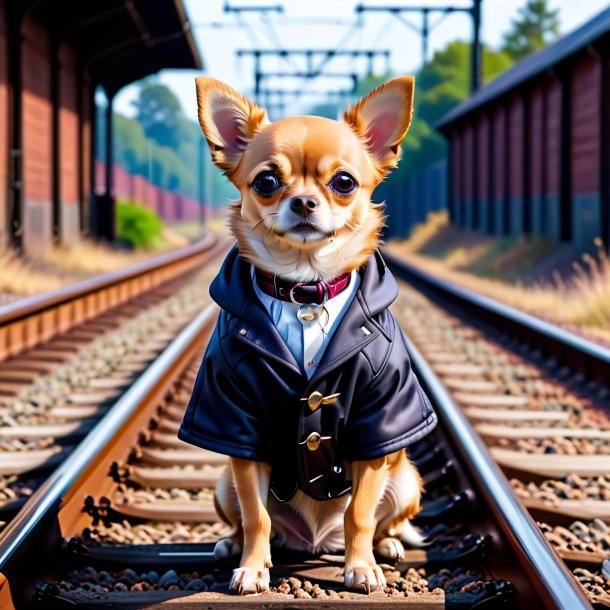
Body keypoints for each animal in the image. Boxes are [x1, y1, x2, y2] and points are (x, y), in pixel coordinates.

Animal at [183, 77, 434, 592]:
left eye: (344, 182)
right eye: (266, 181)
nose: (302, 201)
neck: (305, 288)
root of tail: (315, 543)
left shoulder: (377, 425)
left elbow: (360, 513)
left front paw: (361, 568)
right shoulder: (240, 427)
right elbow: (256, 514)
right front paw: (253, 569)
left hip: (406, 481)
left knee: (383, 520)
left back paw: (385, 548)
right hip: (222, 484)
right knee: (245, 519)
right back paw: (231, 546)